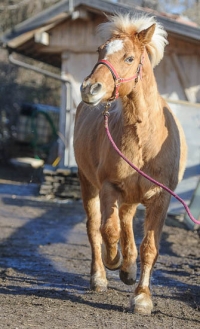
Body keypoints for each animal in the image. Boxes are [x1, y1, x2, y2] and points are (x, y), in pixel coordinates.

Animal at [74, 12, 188, 314]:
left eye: (129, 58)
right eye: (100, 50)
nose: (89, 89)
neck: (145, 139)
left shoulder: (160, 198)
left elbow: (150, 247)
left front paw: (142, 297)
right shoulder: (108, 188)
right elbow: (108, 230)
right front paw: (113, 261)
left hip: (132, 197)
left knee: (126, 223)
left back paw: (128, 270)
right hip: (88, 184)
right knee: (95, 227)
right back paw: (101, 276)